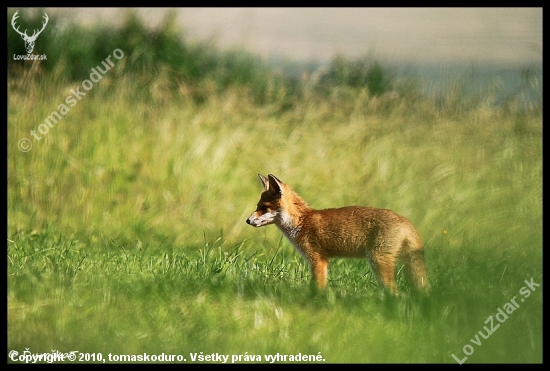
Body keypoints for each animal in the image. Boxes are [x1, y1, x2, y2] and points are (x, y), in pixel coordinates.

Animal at [247, 176, 432, 294]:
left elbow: (318, 288)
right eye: (258, 206)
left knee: (395, 292)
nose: (247, 221)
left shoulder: (318, 259)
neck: (302, 221)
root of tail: (404, 220)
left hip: (378, 261)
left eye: (264, 207)